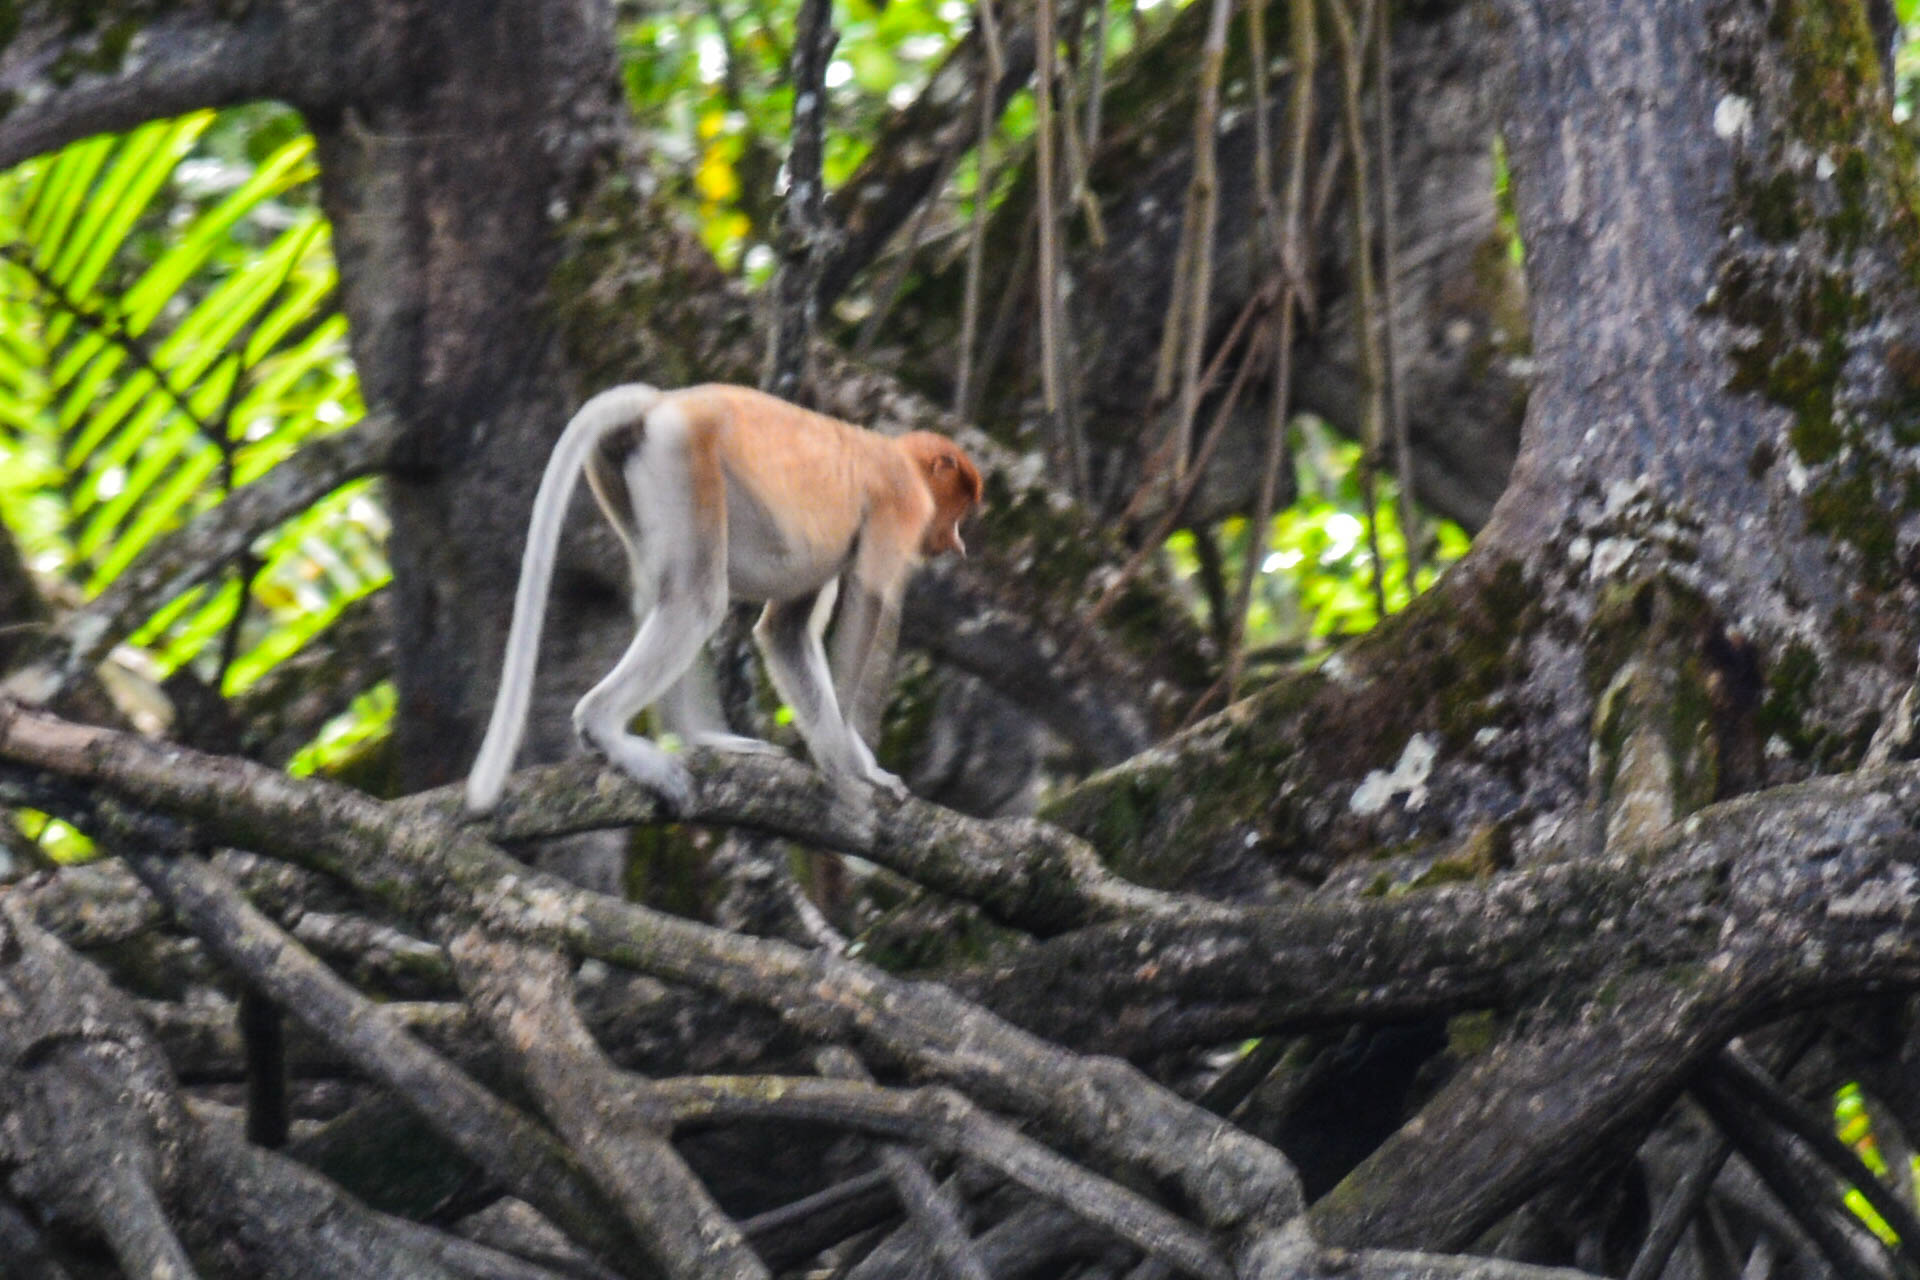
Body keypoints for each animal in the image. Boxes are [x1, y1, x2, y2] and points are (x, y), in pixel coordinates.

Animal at [465, 382, 982, 816]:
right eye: (958, 506)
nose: (958, 543)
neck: (899, 456)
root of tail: (662, 402)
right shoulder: (904, 502)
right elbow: (869, 607)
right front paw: (853, 774)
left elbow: (786, 632)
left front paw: (851, 762)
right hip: (687, 458)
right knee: (696, 600)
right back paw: (609, 730)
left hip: (623, 474)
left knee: (660, 594)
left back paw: (699, 739)